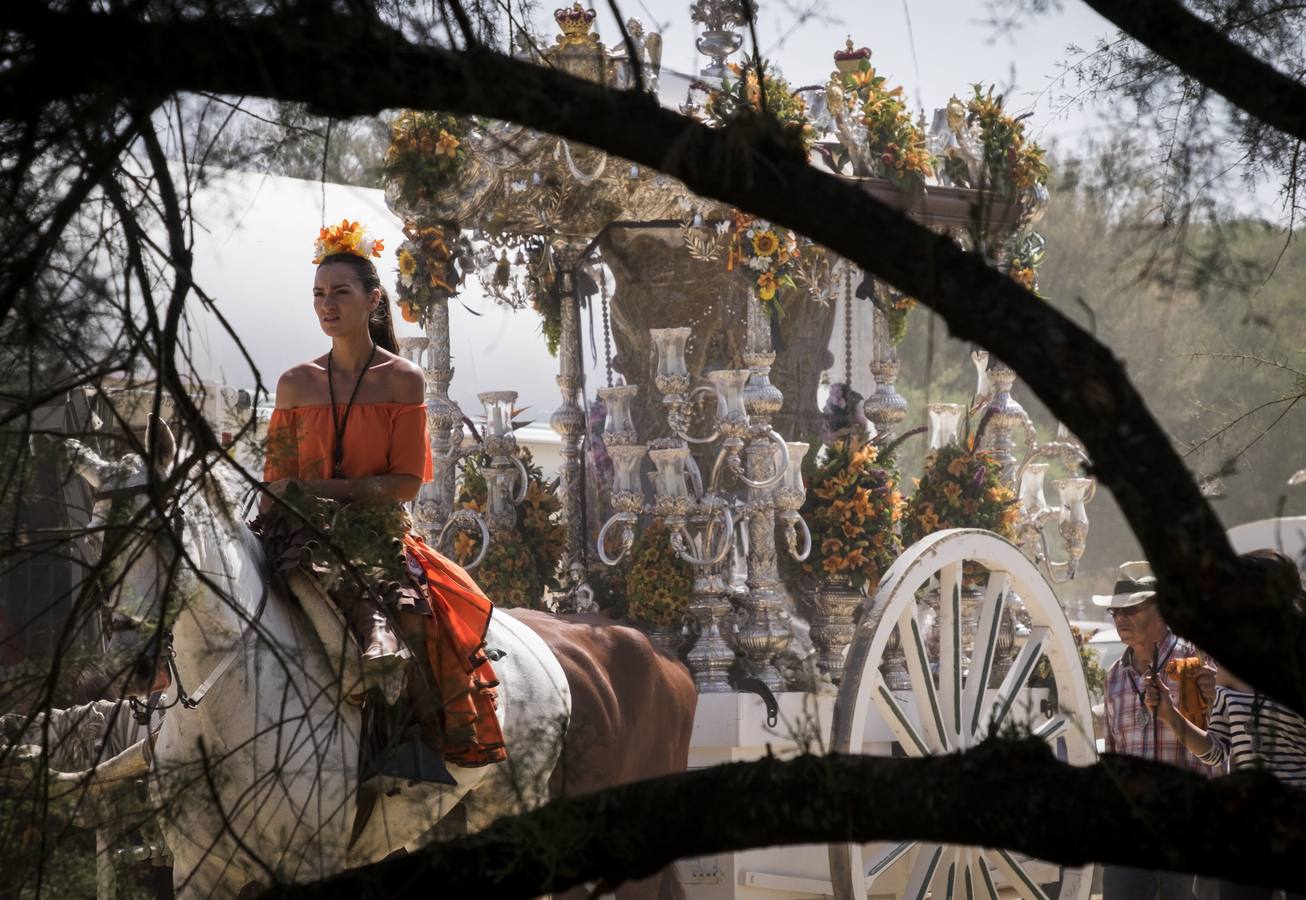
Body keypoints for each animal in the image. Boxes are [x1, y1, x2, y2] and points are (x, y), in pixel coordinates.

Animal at [63, 431, 694, 898]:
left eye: (163, 527)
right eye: (91, 541)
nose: (130, 660)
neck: (226, 712)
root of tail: (541, 646)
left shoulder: (306, 864)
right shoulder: (197, 872)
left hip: (509, 809)